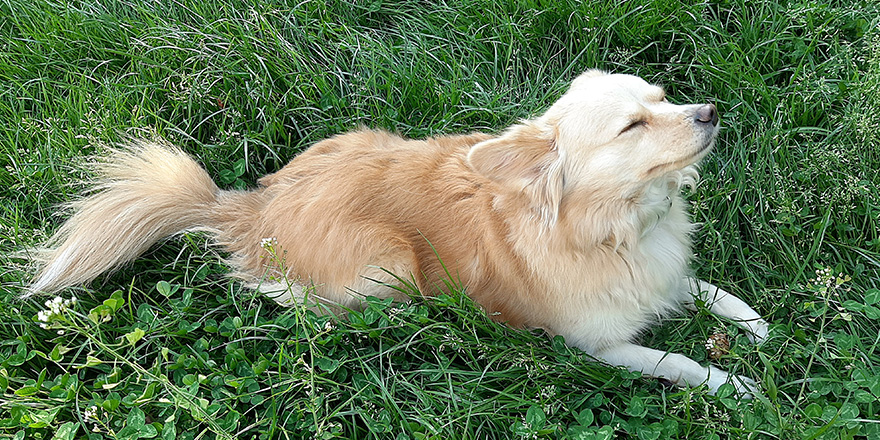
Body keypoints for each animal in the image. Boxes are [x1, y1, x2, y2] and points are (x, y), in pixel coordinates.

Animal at [25, 70, 768, 398]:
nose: (708, 111)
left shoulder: (663, 271)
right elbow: (671, 361)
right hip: (387, 263)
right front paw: (732, 383)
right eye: (633, 126)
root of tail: (255, 210)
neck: (619, 226)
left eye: (664, 98)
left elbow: (702, 287)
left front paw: (752, 322)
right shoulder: (599, 348)